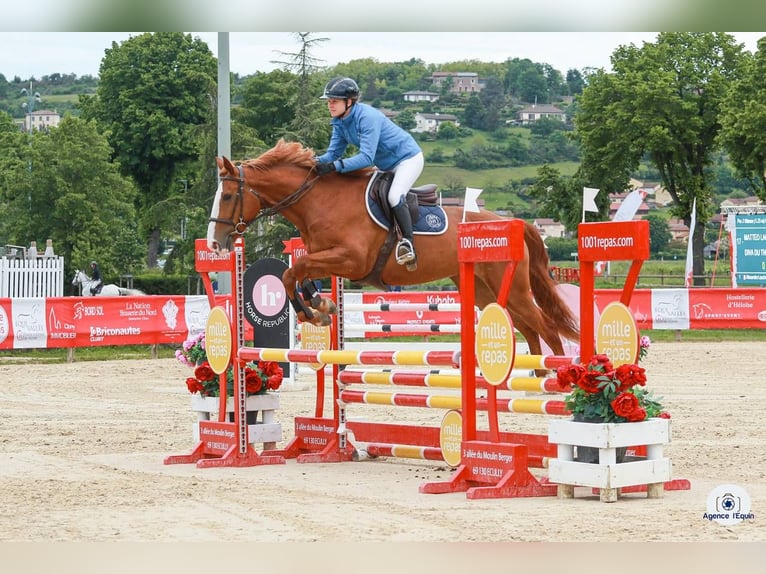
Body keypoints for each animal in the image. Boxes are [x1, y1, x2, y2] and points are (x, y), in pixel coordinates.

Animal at [207, 139, 580, 358]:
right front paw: (321, 306)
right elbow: (298, 274)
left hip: (512, 286)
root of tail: (514, 223)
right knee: (528, 329)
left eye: (228, 196)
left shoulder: (351, 261)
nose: (214, 242)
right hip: (486, 290)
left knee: (545, 328)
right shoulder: (325, 258)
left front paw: (311, 313)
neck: (321, 202)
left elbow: (291, 272)